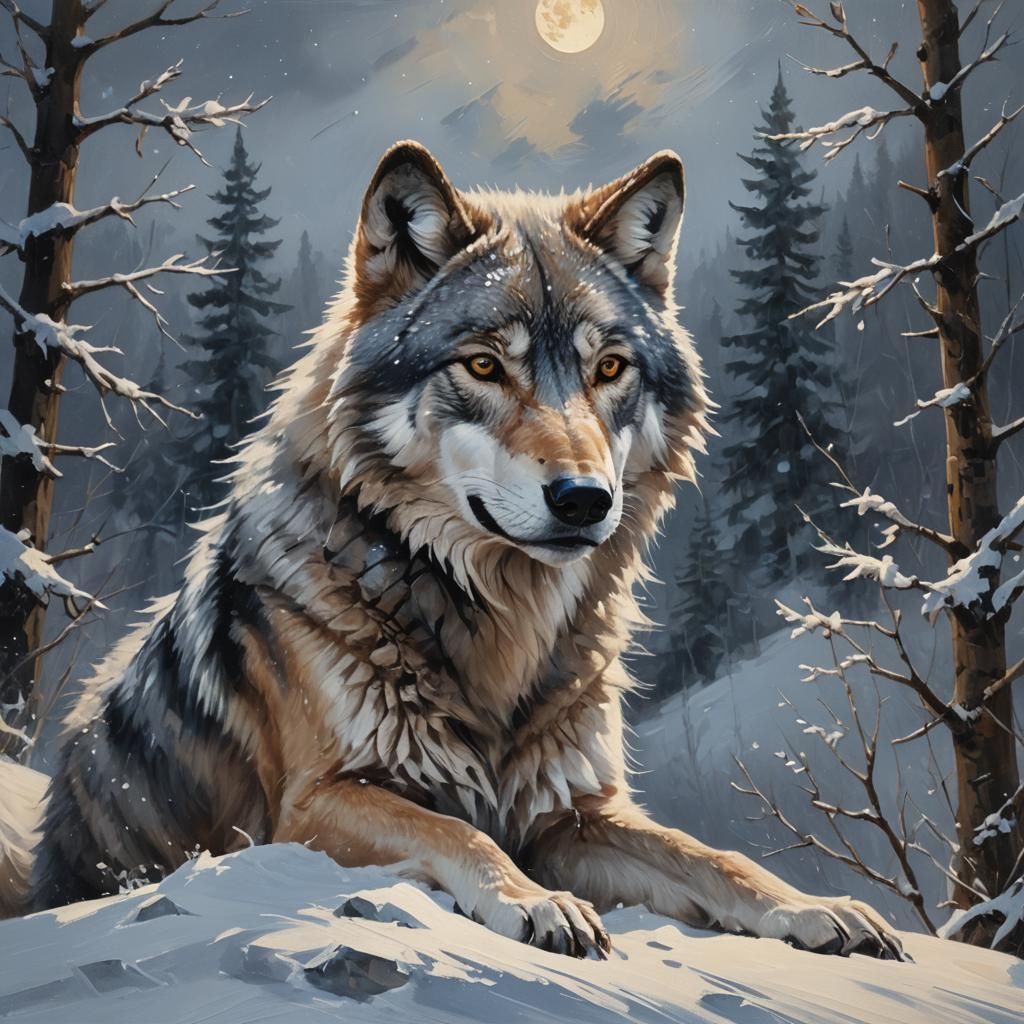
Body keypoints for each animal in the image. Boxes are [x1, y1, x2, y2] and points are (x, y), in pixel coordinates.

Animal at [4, 141, 902, 960]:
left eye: (610, 368)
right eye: (482, 365)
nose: (585, 499)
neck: (499, 626)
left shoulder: (574, 812)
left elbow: (713, 858)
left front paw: (817, 909)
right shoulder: (315, 803)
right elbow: (462, 834)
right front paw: (540, 904)